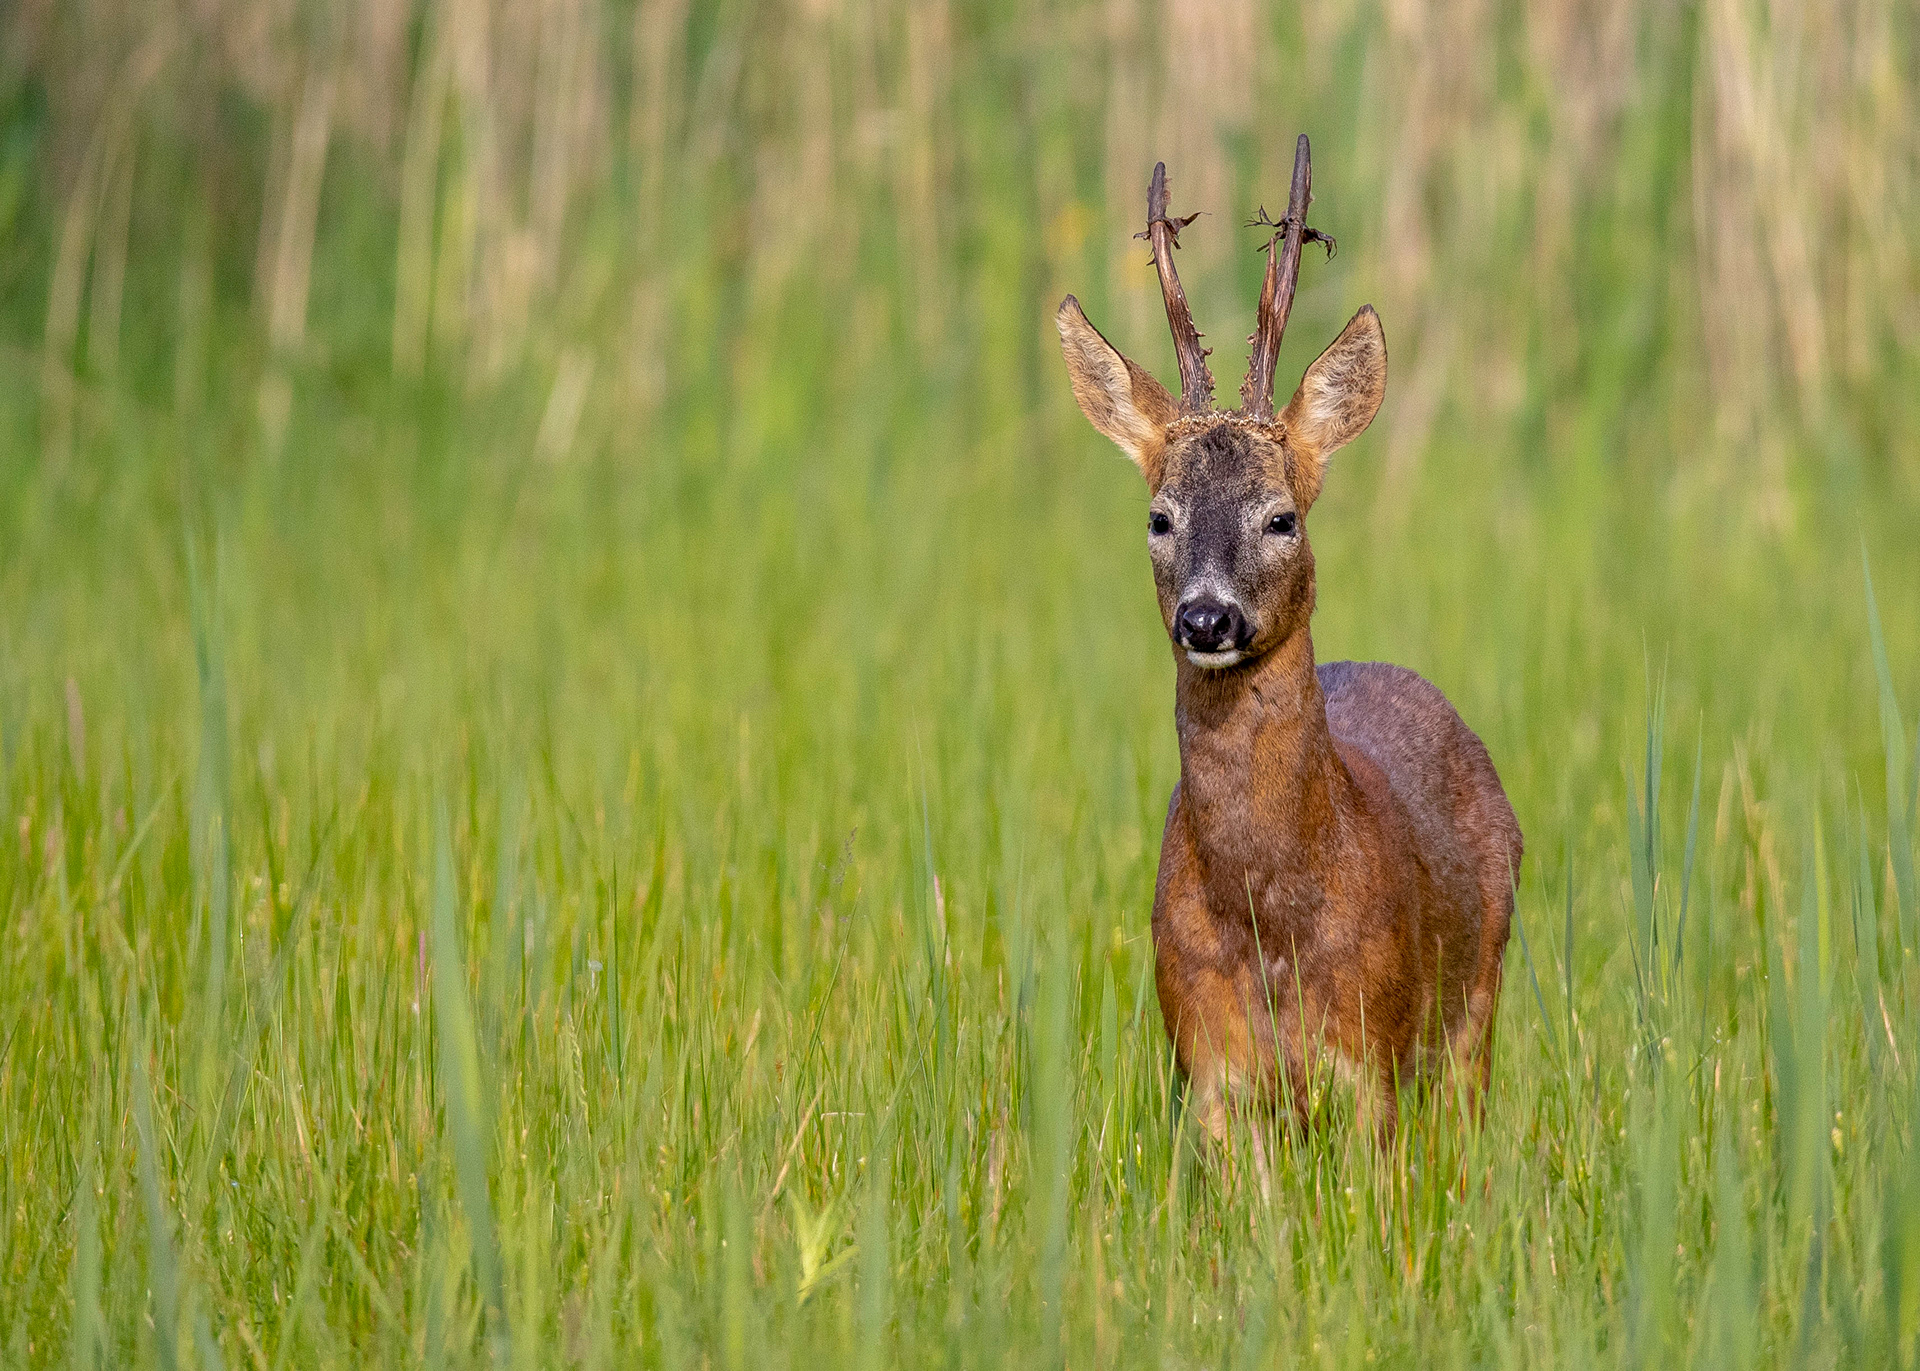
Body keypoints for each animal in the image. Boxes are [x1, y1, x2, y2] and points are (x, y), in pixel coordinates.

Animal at [1056, 136, 1521, 1151]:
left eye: (1281, 516)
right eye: (1159, 516)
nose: (1207, 619)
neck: (1271, 919)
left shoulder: (1372, 1063)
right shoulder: (1210, 1070)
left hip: (1474, 1012)